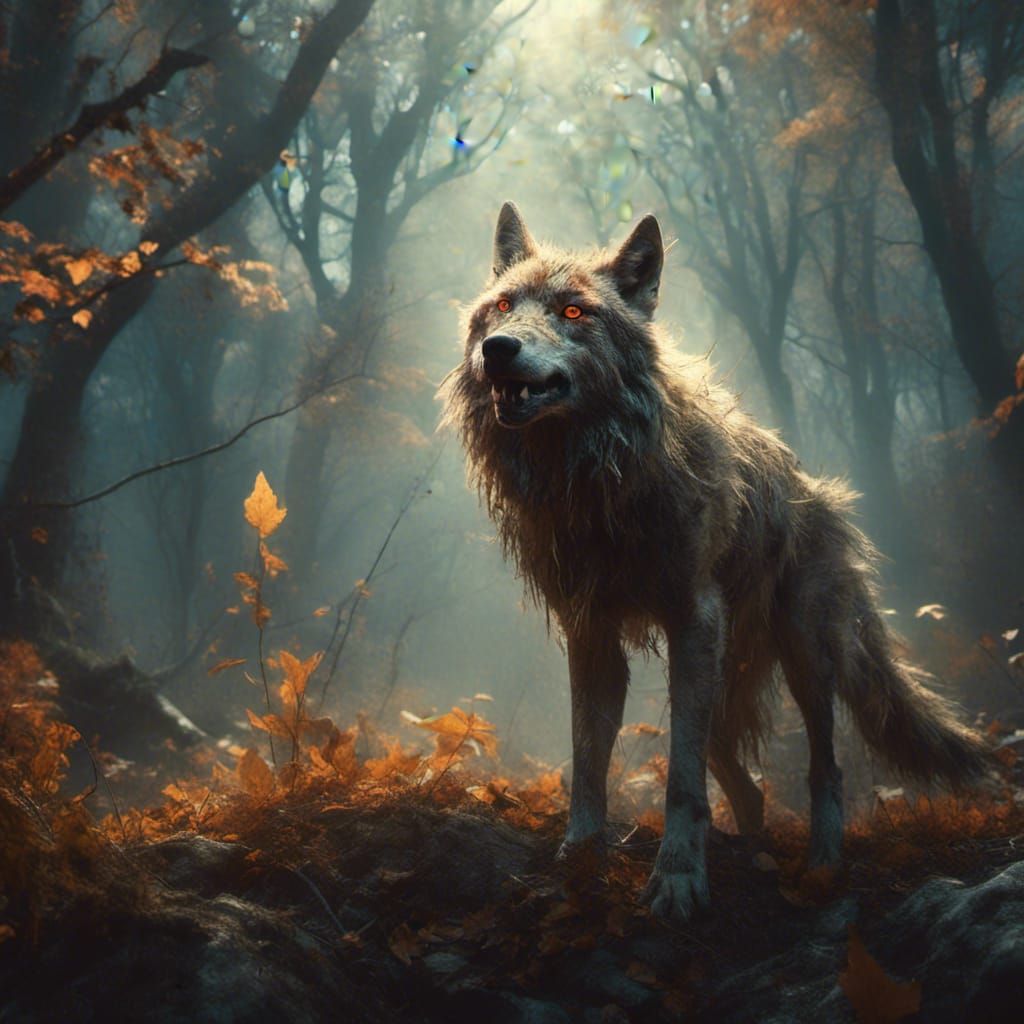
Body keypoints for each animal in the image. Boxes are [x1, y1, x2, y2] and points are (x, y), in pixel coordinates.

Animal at [440, 202, 989, 922]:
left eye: (574, 312)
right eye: (503, 306)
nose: (498, 349)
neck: (598, 478)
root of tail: (823, 494)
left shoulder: (692, 619)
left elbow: (680, 778)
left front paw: (676, 878)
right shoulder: (591, 636)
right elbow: (588, 764)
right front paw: (578, 863)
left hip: (804, 658)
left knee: (823, 767)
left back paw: (821, 864)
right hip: (728, 683)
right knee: (743, 781)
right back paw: (753, 848)